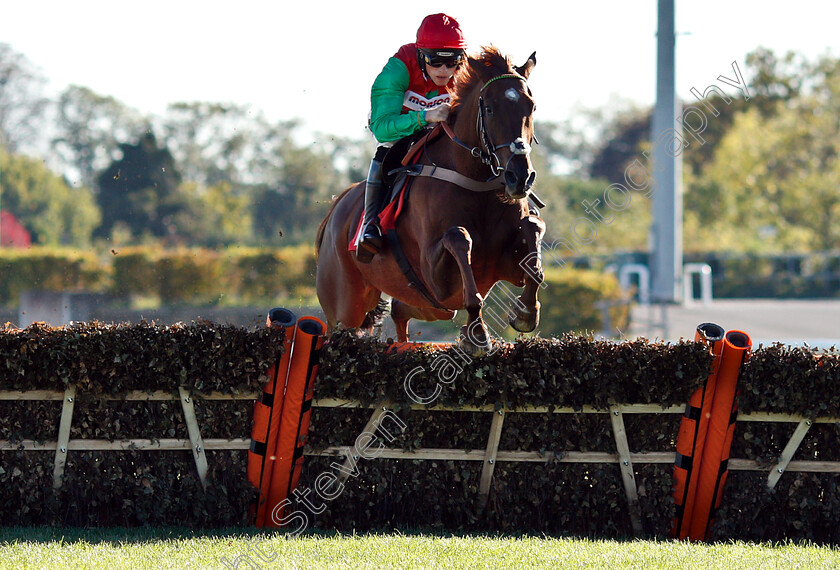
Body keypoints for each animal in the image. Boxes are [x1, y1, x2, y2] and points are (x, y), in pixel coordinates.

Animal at [316, 46, 544, 356]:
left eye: (530, 107)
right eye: (489, 108)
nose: (520, 177)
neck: (475, 181)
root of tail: (334, 212)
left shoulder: (504, 268)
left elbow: (533, 235)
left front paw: (525, 312)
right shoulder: (437, 281)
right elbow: (459, 237)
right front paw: (477, 334)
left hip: (433, 306)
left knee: (400, 309)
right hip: (345, 308)